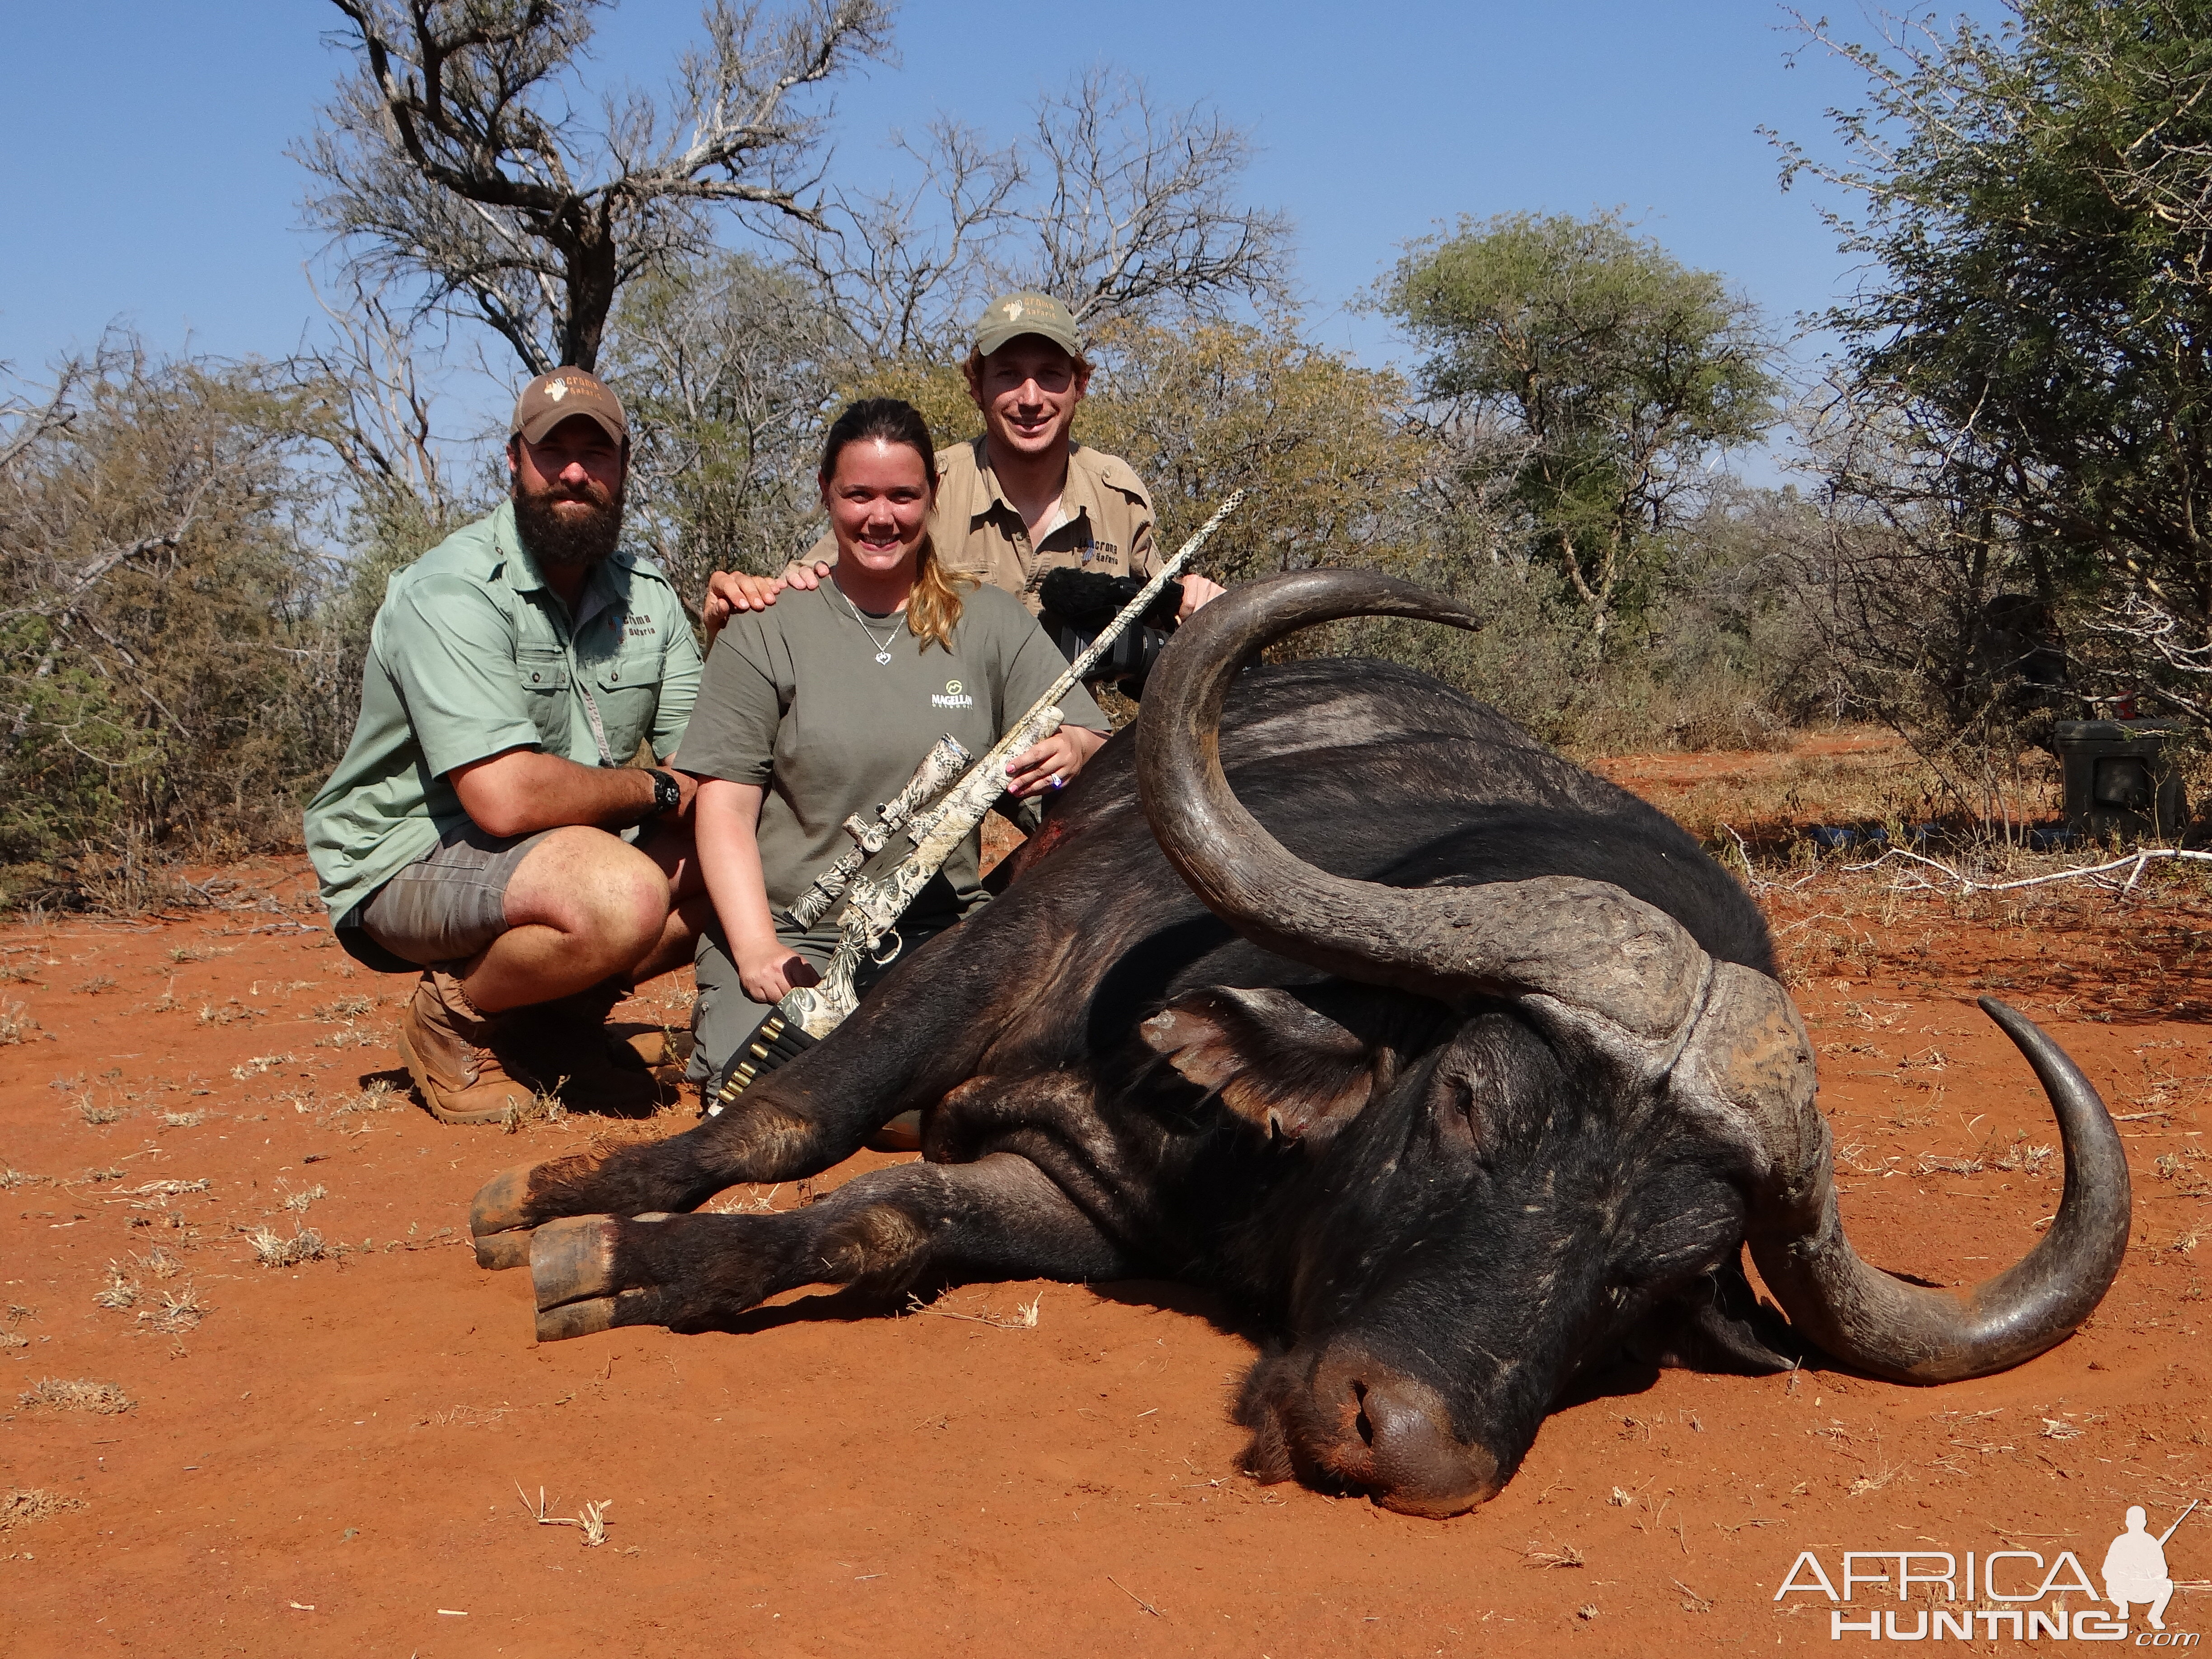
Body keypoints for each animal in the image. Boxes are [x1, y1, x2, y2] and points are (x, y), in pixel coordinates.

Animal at [462, 571, 2123, 1522]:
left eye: (1656, 1273)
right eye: (1469, 1100)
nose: (1404, 1443)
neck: (1236, 1164)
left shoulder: (1080, 1205)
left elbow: (877, 1220)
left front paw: (626, 1268)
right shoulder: (994, 957)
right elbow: (785, 1119)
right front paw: (559, 1206)